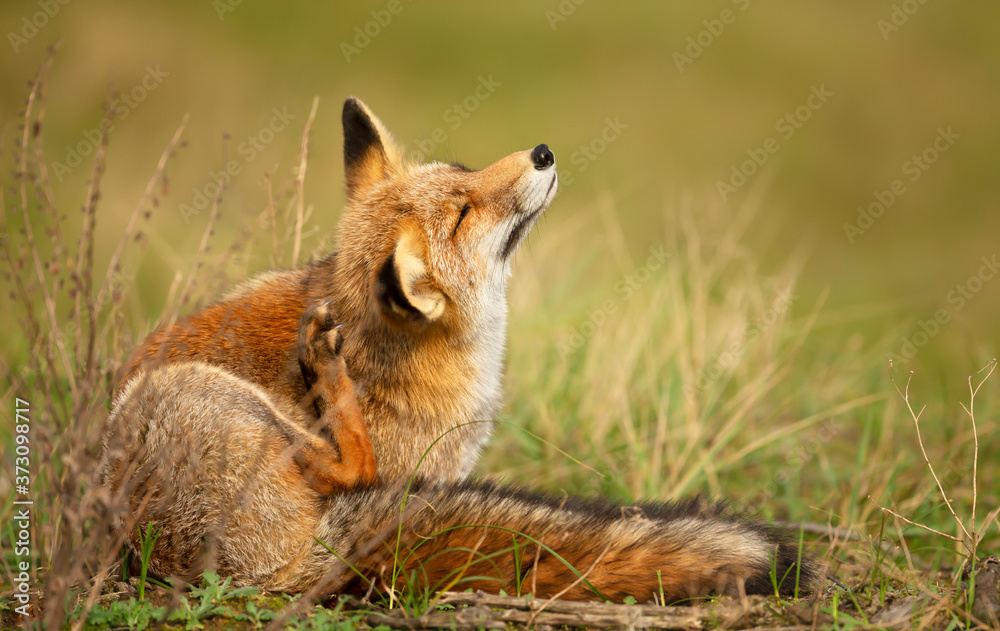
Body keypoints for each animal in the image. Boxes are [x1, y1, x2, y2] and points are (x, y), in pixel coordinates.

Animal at [99, 97, 812, 603]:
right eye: (465, 215)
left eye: (464, 173)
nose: (543, 152)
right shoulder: (411, 473)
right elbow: (368, 469)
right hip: (183, 395)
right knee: (351, 469)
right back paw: (327, 376)